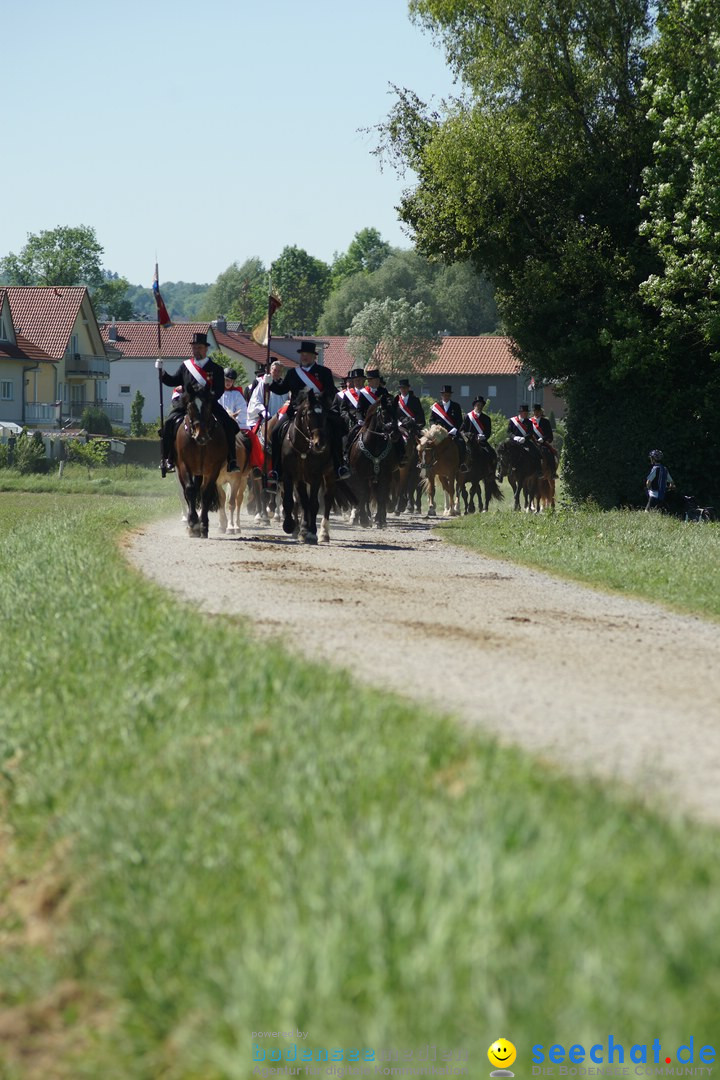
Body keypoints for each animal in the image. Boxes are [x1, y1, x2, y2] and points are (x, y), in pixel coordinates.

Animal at [174, 390, 226, 537]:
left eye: (208, 405)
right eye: (190, 407)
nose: (201, 436)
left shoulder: (213, 468)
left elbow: (206, 493)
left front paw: (203, 525)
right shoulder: (183, 465)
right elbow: (190, 490)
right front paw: (193, 523)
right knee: (187, 491)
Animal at [280, 388, 338, 544]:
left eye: (324, 415)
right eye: (309, 414)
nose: (320, 444)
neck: (303, 448)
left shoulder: (316, 476)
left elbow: (313, 504)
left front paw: (312, 533)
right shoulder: (290, 475)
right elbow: (292, 501)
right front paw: (291, 526)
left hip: (330, 475)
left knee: (327, 499)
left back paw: (324, 533)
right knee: (302, 502)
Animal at [347, 399, 403, 529]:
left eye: (397, 412)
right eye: (384, 413)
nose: (395, 434)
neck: (374, 445)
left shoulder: (385, 475)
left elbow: (380, 496)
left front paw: (378, 520)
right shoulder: (359, 475)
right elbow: (362, 495)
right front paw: (363, 519)